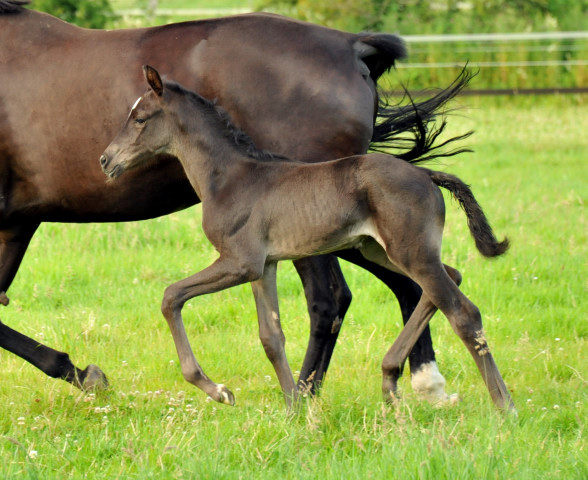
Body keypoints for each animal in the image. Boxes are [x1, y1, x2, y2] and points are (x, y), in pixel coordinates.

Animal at [0, 1, 468, 400]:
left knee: (332, 299)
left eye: (139, 118)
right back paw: (424, 384)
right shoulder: (15, 225)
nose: (105, 160)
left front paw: (87, 374)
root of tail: (351, 47)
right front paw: (85, 374)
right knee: (416, 281)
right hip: (357, 234)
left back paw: (306, 394)